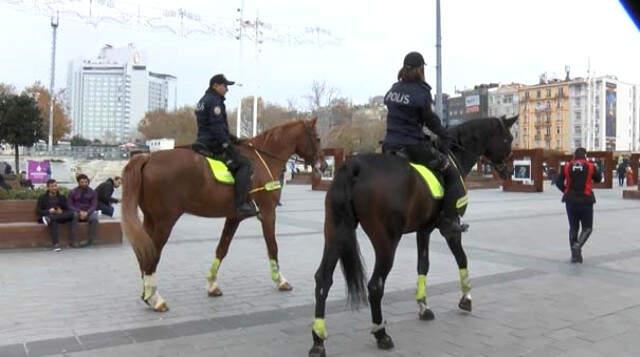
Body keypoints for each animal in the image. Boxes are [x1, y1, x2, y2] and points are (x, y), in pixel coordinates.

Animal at [122, 118, 324, 310]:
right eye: (318, 138)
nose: (322, 165)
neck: (264, 160)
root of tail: (148, 158)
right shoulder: (268, 213)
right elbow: (272, 247)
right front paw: (280, 280)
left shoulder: (234, 217)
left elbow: (222, 248)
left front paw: (212, 284)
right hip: (164, 222)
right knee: (152, 255)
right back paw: (155, 299)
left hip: (150, 220)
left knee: (143, 254)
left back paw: (147, 294)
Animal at [308, 115, 516, 354]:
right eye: (508, 139)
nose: (508, 170)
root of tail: (354, 167)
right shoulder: (450, 231)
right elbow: (462, 259)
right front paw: (466, 298)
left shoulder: (423, 230)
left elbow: (423, 265)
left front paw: (423, 306)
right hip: (386, 242)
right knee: (375, 285)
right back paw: (381, 333)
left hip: (336, 234)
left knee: (323, 280)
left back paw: (318, 339)